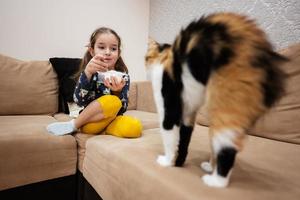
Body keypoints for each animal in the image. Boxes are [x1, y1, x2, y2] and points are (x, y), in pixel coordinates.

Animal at [145, 12, 286, 188]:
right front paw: (179, 162)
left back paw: (215, 181)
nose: (146, 62)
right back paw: (209, 166)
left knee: (227, 150)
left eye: (148, 57)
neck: (166, 58)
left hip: (227, 108)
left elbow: (169, 137)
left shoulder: (170, 108)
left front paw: (167, 161)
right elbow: (184, 139)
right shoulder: (189, 111)